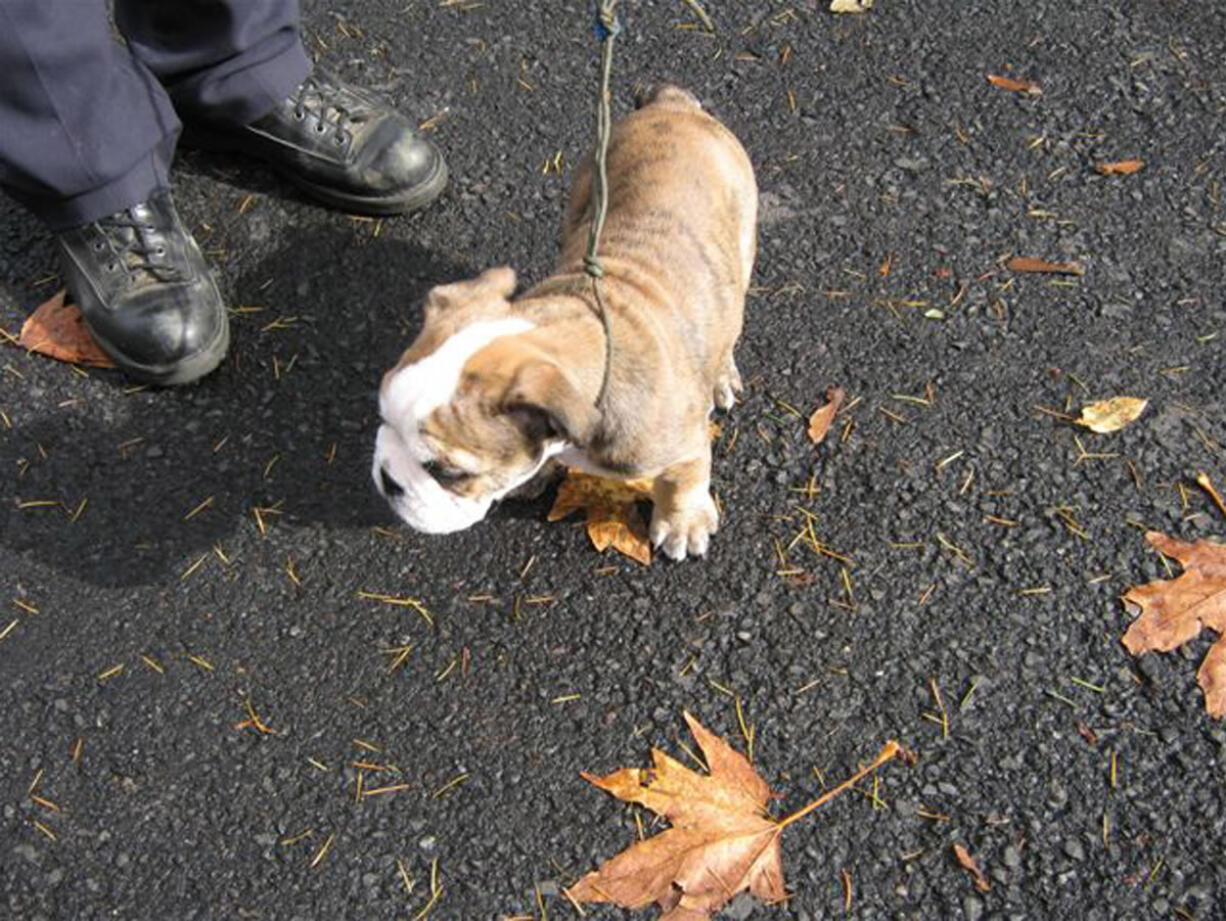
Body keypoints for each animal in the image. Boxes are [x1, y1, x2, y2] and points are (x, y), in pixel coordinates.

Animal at [370, 86, 755, 559]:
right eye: (383, 419)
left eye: (449, 473)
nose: (387, 478)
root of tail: (673, 103)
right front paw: (536, 473)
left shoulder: (684, 445)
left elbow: (685, 478)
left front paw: (683, 523)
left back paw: (721, 375)